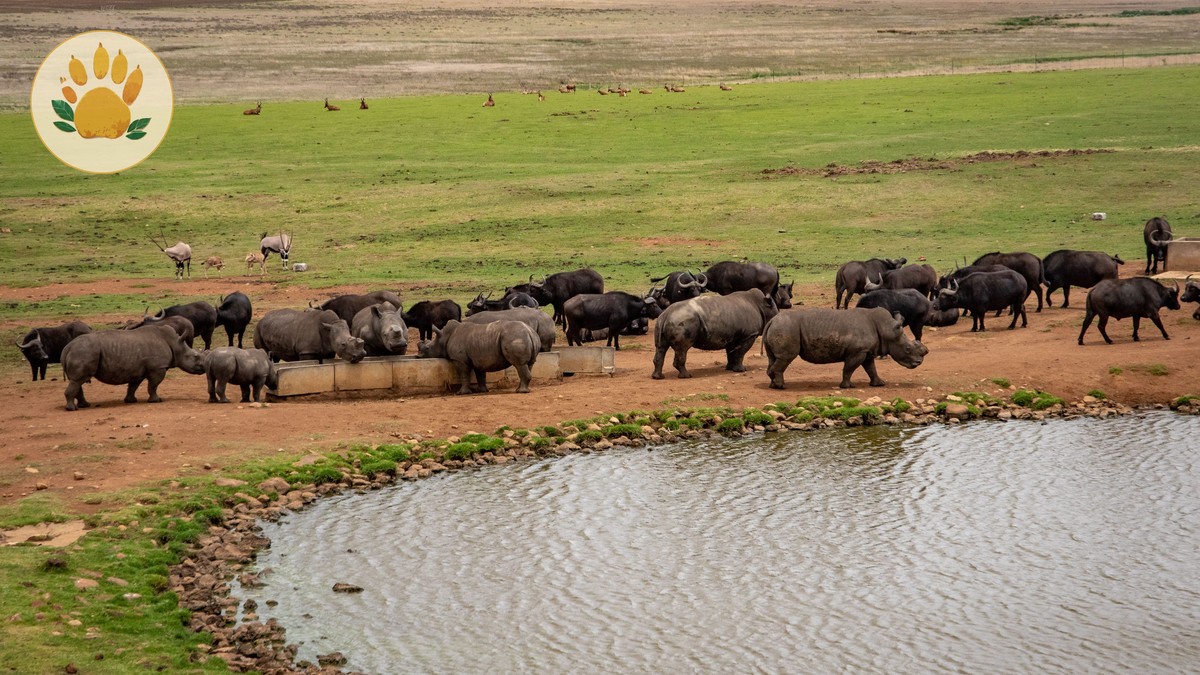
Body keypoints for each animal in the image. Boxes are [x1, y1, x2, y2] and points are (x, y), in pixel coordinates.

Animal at [61, 325, 206, 411]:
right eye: (195, 356)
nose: (204, 368)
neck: (175, 344)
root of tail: (67, 348)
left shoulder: (137, 369)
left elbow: (133, 386)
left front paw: (130, 401)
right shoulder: (157, 368)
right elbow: (153, 385)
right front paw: (156, 401)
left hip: (82, 351)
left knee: (78, 381)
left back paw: (84, 405)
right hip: (84, 352)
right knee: (78, 380)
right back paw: (72, 409)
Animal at [762, 307, 928, 389]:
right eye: (907, 348)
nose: (919, 362)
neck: (887, 329)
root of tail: (771, 320)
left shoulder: (867, 351)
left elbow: (871, 368)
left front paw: (880, 384)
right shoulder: (857, 351)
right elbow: (849, 368)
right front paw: (848, 387)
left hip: (781, 327)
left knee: (773, 358)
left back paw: (773, 385)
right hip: (786, 328)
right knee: (786, 357)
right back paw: (781, 387)